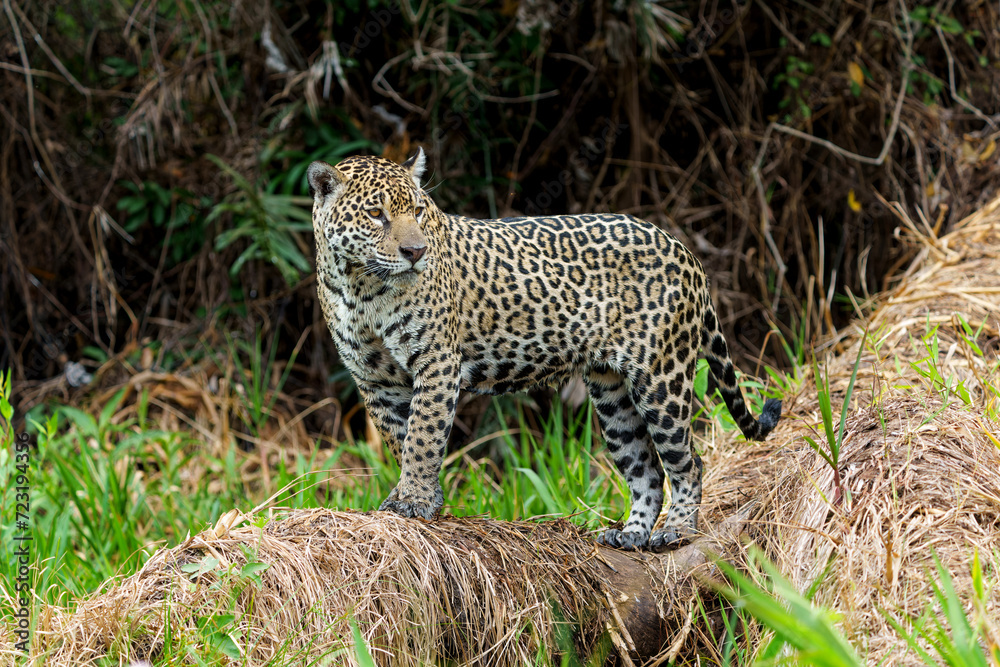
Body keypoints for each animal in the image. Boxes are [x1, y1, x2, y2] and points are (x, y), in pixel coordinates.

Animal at [307, 148, 781, 550]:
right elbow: (401, 437)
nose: (416, 251)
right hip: (612, 394)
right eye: (376, 214)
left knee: (687, 462)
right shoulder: (375, 380)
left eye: (418, 212)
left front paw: (413, 500)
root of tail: (682, 248)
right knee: (645, 467)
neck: (360, 287)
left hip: (662, 376)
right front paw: (423, 497)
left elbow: (424, 436)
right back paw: (630, 534)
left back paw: (677, 530)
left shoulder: (436, 361)